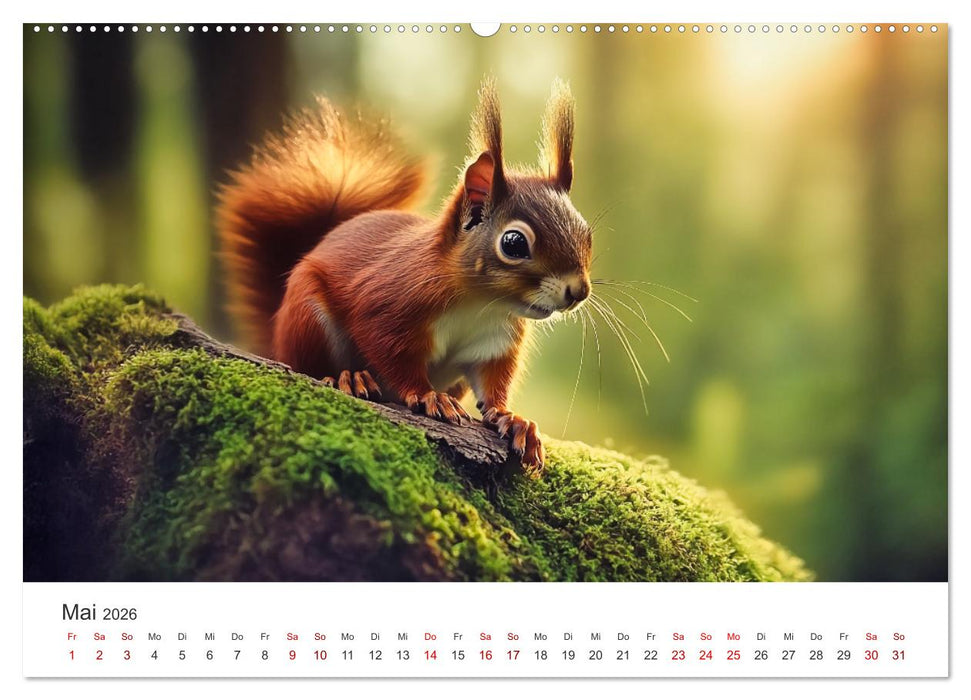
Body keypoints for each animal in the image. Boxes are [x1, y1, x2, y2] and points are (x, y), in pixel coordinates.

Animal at [216, 79, 592, 475]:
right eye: (514, 243)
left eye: (587, 233)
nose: (578, 291)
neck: (479, 304)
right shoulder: (389, 304)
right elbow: (393, 354)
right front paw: (427, 396)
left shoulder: (495, 340)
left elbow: (492, 383)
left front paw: (513, 419)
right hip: (306, 318)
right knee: (309, 365)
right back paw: (347, 377)